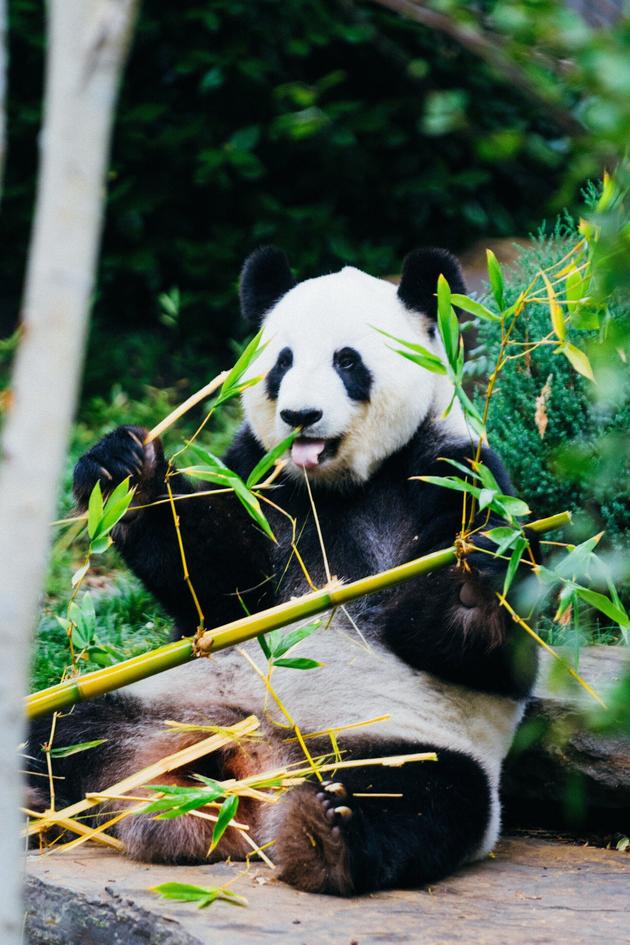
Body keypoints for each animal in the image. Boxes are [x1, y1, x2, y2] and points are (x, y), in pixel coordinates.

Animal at [28, 247, 538, 896]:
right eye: (283, 361)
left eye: (348, 361)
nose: (300, 416)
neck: (337, 485)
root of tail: (243, 770)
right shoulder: (260, 477)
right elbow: (220, 586)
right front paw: (125, 470)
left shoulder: (457, 472)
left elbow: (492, 652)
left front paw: (472, 577)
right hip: (145, 703)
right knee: (60, 736)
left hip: (399, 744)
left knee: (422, 797)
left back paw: (328, 832)